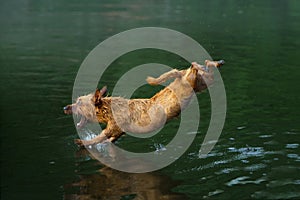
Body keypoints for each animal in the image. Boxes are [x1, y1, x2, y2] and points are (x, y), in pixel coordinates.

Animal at [63, 59, 225, 145]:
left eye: (79, 102)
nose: (65, 107)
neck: (107, 109)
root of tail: (181, 75)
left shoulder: (112, 128)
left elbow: (98, 138)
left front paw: (82, 142)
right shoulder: (117, 133)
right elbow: (108, 140)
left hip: (192, 79)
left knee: (195, 65)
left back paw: (200, 64)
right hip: (203, 83)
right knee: (207, 68)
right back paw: (216, 63)